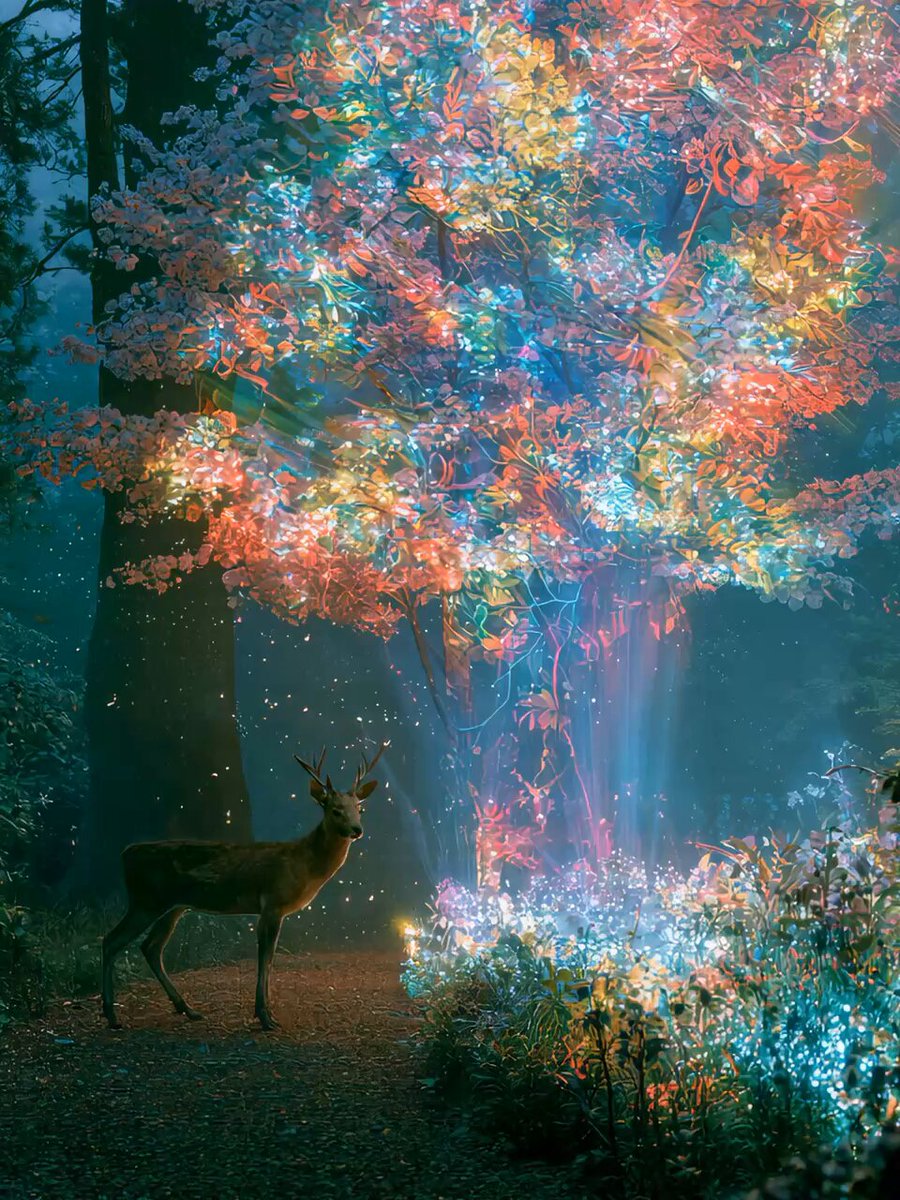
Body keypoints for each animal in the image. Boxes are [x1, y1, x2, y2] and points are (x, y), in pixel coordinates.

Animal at [100, 742, 388, 1031]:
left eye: (360, 809)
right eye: (335, 809)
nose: (357, 829)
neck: (304, 866)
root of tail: (126, 853)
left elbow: (268, 959)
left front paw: (266, 1013)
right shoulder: (272, 903)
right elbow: (265, 958)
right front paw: (265, 1016)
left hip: (173, 907)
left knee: (150, 947)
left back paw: (187, 1009)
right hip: (146, 900)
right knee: (111, 939)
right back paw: (112, 1015)